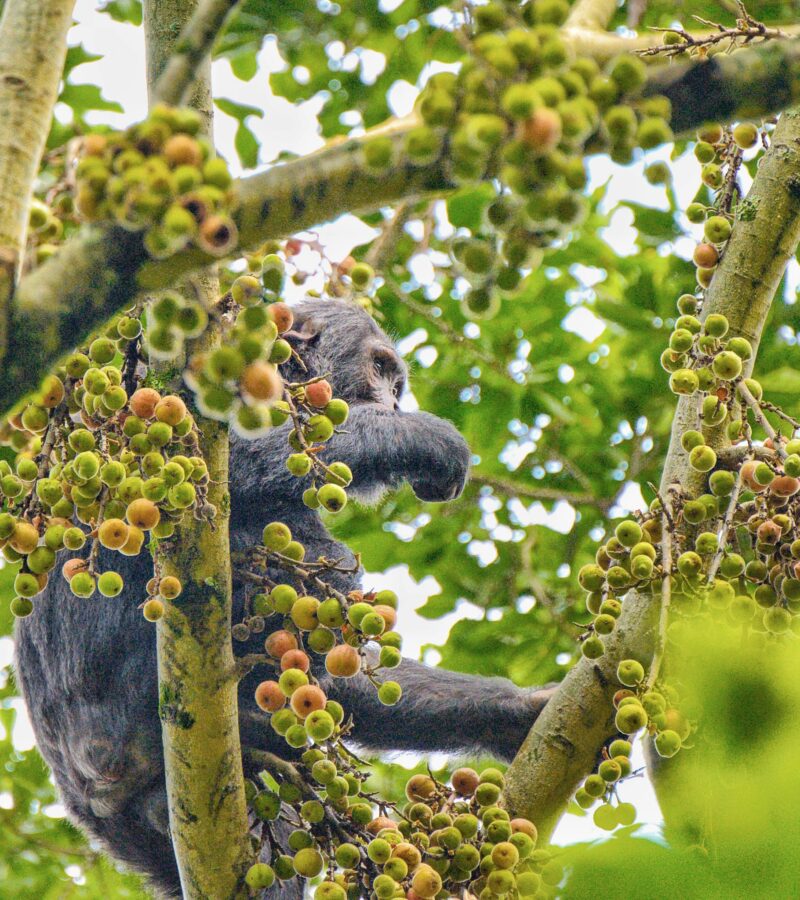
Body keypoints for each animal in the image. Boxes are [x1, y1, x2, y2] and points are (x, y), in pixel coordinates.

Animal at [17, 300, 556, 892]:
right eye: (380, 369)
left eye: (397, 383)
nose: (393, 402)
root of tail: (89, 794)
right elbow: (199, 461)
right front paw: (429, 437)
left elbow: (337, 683)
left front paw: (519, 710)